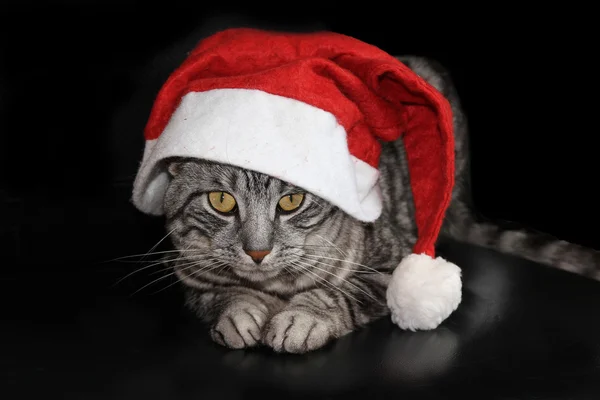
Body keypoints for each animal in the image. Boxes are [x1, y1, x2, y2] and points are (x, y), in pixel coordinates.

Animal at [156, 54, 600, 354]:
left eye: (292, 200)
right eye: (221, 201)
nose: (258, 251)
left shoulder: (390, 262)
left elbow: (336, 293)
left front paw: (300, 319)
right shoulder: (192, 278)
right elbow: (224, 294)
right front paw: (240, 313)